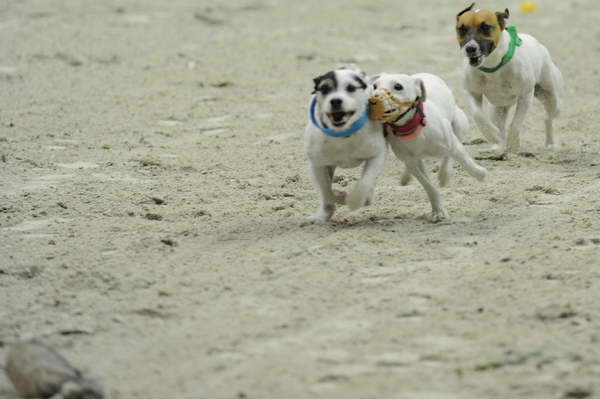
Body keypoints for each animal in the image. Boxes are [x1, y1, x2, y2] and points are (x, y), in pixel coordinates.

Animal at [302, 64, 386, 223]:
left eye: (351, 88)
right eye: (324, 88)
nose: (335, 101)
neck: (343, 135)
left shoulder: (377, 155)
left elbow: (365, 182)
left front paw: (353, 200)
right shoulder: (318, 165)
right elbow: (326, 191)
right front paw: (324, 212)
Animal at [370, 72, 488, 222]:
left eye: (398, 86)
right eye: (374, 86)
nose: (372, 100)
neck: (411, 128)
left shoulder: (451, 143)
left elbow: (465, 161)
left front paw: (480, 173)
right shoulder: (412, 162)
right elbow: (428, 186)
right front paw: (438, 211)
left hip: (459, 124)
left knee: (449, 154)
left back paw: (444, 175)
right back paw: (406, 177)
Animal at [454, 2, 564, 153]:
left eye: (485, 27)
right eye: (461, 29)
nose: (470, 48)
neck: (492, 66)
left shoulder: (525, 95)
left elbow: (516, 124)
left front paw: (513, 143)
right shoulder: (472, 93)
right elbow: (478, 116)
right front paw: (493, 135)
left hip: (551, 97)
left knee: (548, 118)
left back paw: (549, 144)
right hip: (498, 108)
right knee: (499, 123)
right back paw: (497, 146)